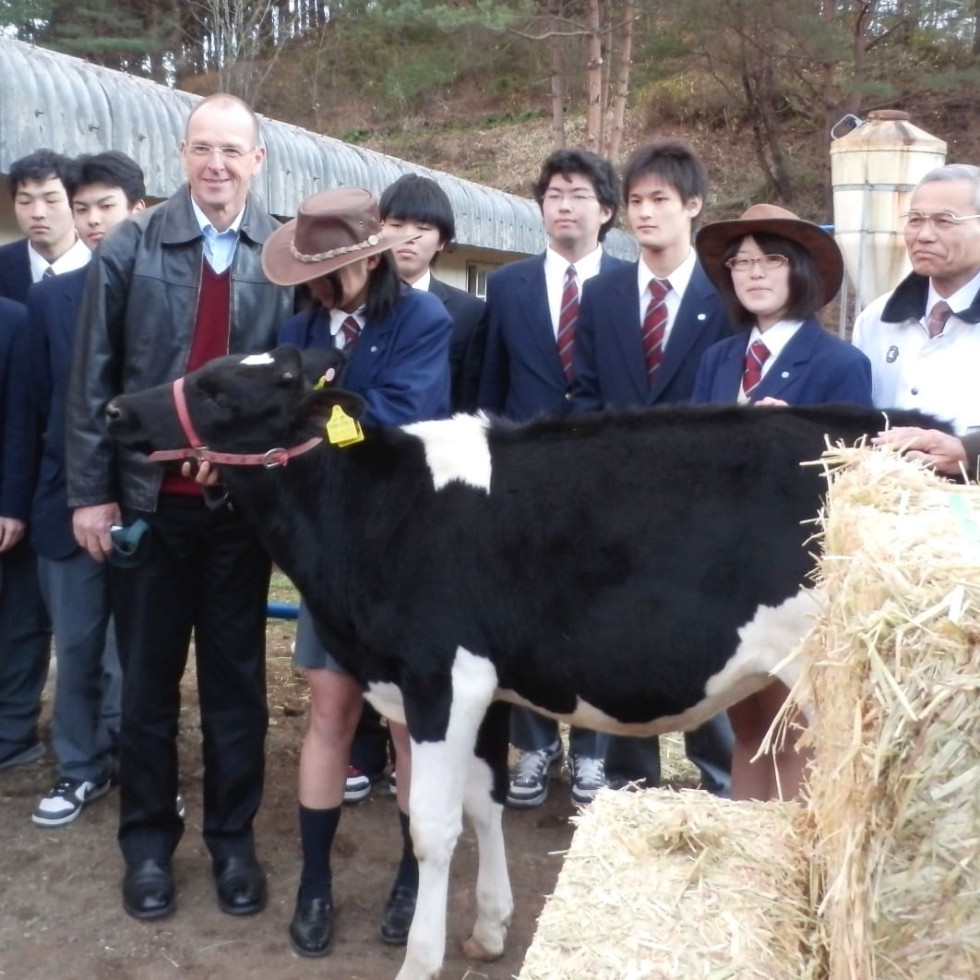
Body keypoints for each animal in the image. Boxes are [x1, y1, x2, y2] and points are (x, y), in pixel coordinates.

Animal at [105, 346, 936, 980]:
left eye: (217, 392)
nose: (115, 410)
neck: (372, 510)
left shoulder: (442, 679)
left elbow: (433, 828)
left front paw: (420, 960)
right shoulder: (481, 687)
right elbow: (485, 801)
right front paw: (490, 928)